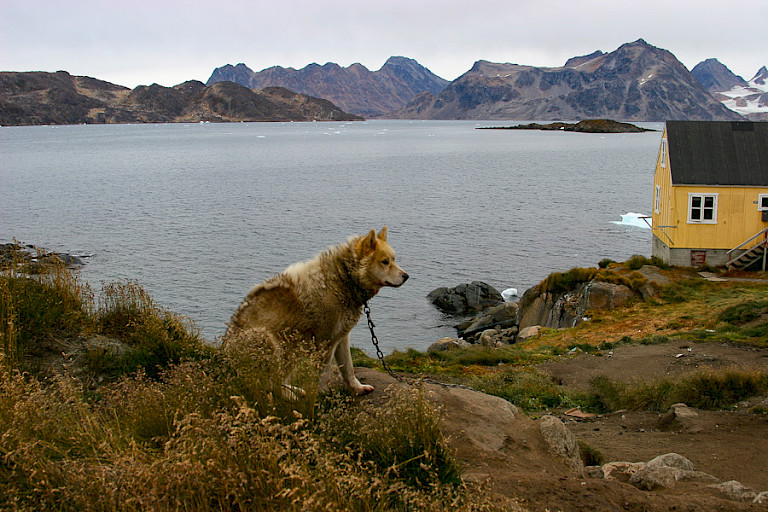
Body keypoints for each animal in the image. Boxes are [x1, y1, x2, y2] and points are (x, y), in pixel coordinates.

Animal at [225, 228, 408, 396]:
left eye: (394, 260)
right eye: (385, 262)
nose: (406, 276)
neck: (345, 277)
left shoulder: (341, 337)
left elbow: (348, 368)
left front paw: (357, 388)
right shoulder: (326, 341)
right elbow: (323, 374)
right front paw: (323, 395)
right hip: (276, 344)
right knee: (270, 384)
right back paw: (290, 396)